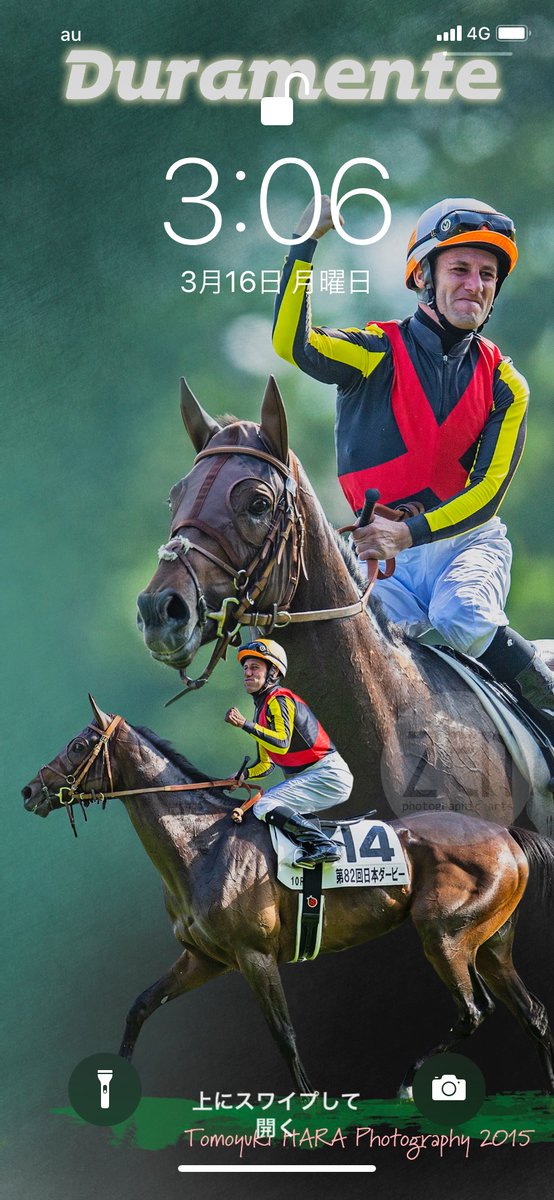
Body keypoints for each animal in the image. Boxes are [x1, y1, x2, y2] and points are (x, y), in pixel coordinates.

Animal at [22, 696, 554, 1096]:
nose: (29, 791)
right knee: (533, 1014)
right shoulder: (204, 958)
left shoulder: (253, 955)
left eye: (78, 745)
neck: (200, 843)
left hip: (443, 935)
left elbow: (284, 1035)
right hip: (491, 943)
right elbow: (140, 1005)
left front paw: (310, 1103)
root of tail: (506, 833)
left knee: (473, 1011)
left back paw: (406, 1082)